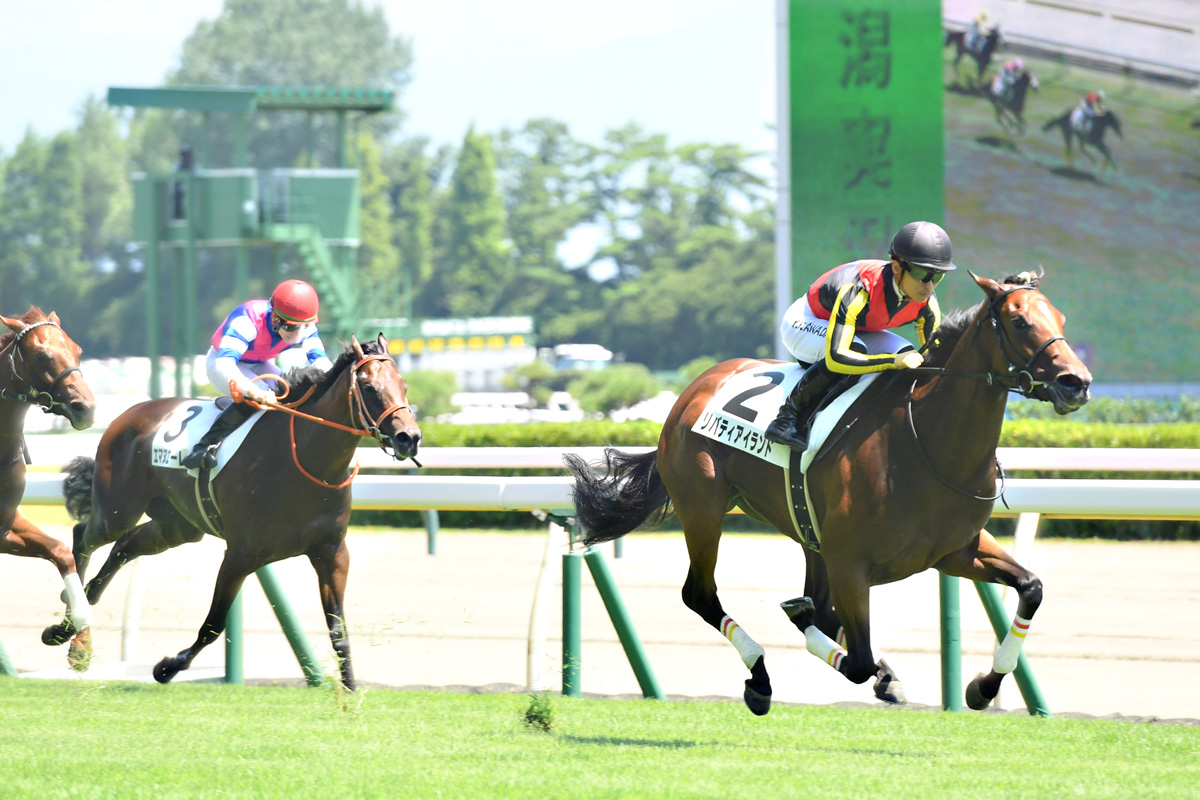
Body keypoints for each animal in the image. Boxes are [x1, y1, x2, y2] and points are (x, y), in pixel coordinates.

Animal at [0, 308, 97, 669]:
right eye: (42, 355)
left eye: (77, 349)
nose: (86, 408)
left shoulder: (6, 524)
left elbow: (60, 551)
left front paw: (80, 642)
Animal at [43, 335, 421, 690]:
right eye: (369, 387)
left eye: (404, 384)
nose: (409, 437)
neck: (305, 461)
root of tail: (128, 413)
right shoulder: (242, 553)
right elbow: (213, 624)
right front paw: (167, 667)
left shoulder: (332, 553)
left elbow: (338, 629)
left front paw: (350, 690)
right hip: (118, 508)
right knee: (84, 536)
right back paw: (69, 630)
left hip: (178, 525)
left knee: (126, 545)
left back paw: (77, 618)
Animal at [567, 272, 1091, 715]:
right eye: (1019, 320)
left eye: (1061, 319)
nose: (1077, 382)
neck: (927, 442)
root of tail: (691, 390)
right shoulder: (850, 562)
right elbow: (854, 659)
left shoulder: (953, 550)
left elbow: (1031, 588)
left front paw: (982, 687)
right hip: (704, 508)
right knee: (701, 594)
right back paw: (761, 678)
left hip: (806, 531)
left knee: (814, 602)